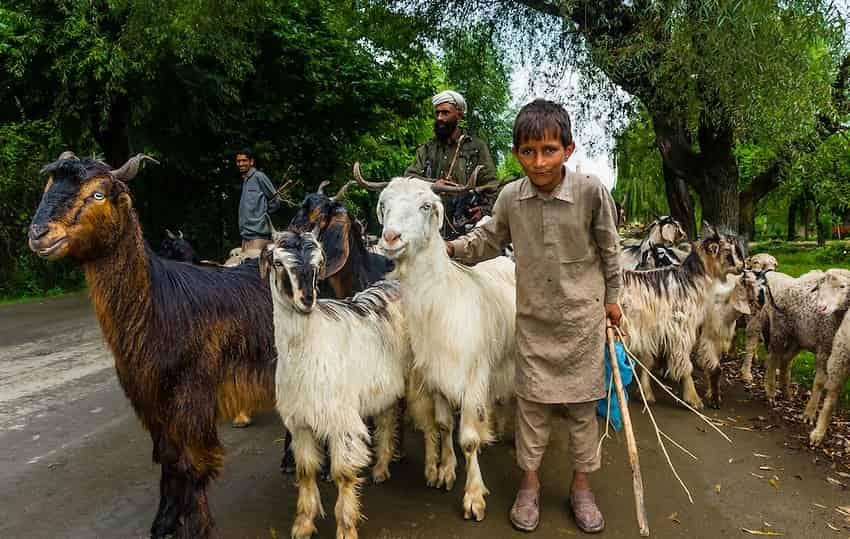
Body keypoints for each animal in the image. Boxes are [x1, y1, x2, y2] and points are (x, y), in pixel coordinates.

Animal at [27, 153, 274, 539]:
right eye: (47, 187)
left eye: (98, 194)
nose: (39, 234)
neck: (159, 304)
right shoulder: (148, 397)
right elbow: (168, 458)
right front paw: (164, 521)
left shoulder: (192, 396)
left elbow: (195, 463)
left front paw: (195, 526)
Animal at [264, 232, 412, 539]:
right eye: (278, 263)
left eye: (318, 263)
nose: (307, 299)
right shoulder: (300, 421)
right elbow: (306, 470)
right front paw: (304, 524)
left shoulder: (341, 419)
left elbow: (343, 474)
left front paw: (346, 528)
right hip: (384, 385)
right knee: (387, 417)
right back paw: (381, 468)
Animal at [616, 224, 744, 410]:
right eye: (728, 252)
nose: (742, 267)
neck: (689, 282)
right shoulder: (681, 329)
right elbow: (685, 364)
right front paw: (693, 399)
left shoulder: (652, 330)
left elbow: (647, 361)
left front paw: (647, 394)